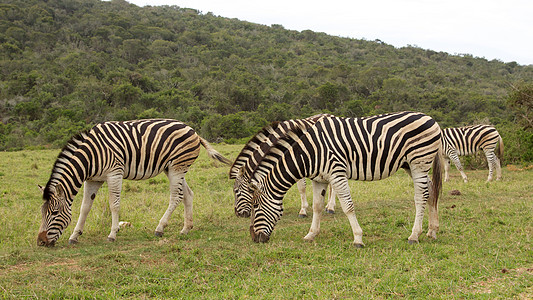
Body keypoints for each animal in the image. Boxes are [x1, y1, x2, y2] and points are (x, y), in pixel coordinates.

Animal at [36, 118, 230, 247]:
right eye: (42, 212)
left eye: (54, 213)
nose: (41, 242)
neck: (90, 157)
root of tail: (193, 130)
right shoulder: (93, 180)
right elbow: (85, 207)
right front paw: (75, 236)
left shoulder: (114, 173)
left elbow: (114, 205)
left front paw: (112, 234)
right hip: (173, 168)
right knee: (188, 194)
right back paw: (185, 229)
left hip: (177, 166)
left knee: (176, 196)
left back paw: (160, 228)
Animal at [245, 111, 440, 247]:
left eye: (256, 206)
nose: (254, 239)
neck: (309, 152)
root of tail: (431, 118)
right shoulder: (320, 179)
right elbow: (317, 207)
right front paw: (311, 234)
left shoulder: (336, 172)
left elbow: (348, 206)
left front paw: (358, 238)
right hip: (409, 164)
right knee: (431, 190)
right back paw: (432, 231)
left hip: (418, 162)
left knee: (421, 196)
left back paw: (414, 235)